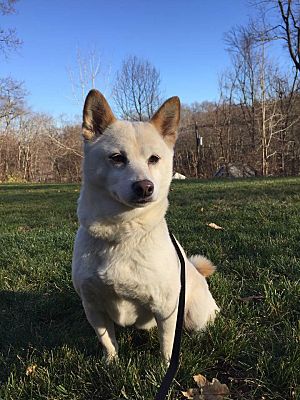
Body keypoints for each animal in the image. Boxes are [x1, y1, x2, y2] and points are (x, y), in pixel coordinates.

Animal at [71, 91, 219, 362]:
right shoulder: (93, 307)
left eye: (154, 159)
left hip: (194, 315)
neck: (123, 233)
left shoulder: (166, 308)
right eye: (117, 158)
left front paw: (166, 365)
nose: (144, 187)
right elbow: (107, 340)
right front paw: (111, 363)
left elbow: (168, 343)